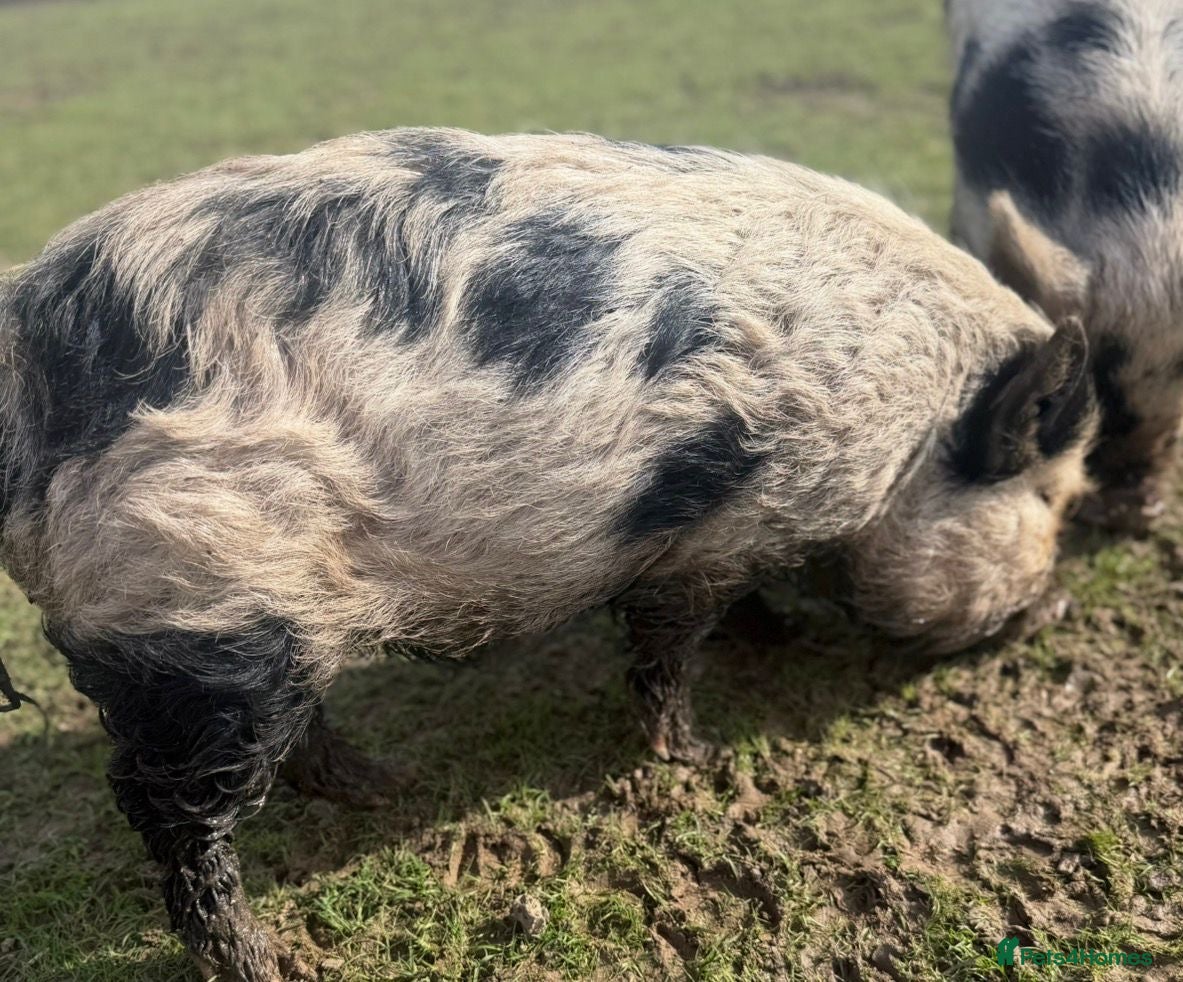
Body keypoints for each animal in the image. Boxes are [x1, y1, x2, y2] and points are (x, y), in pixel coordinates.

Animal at [0, 128, 1094, 979]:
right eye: (1048, 491)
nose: (1059, 607)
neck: (909, 430)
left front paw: (776, 640)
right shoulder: (705, 531)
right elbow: (666, 644)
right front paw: (694, 755)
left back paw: (385, 784)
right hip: (201, 601)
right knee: (167, 805)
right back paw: (263, 957)